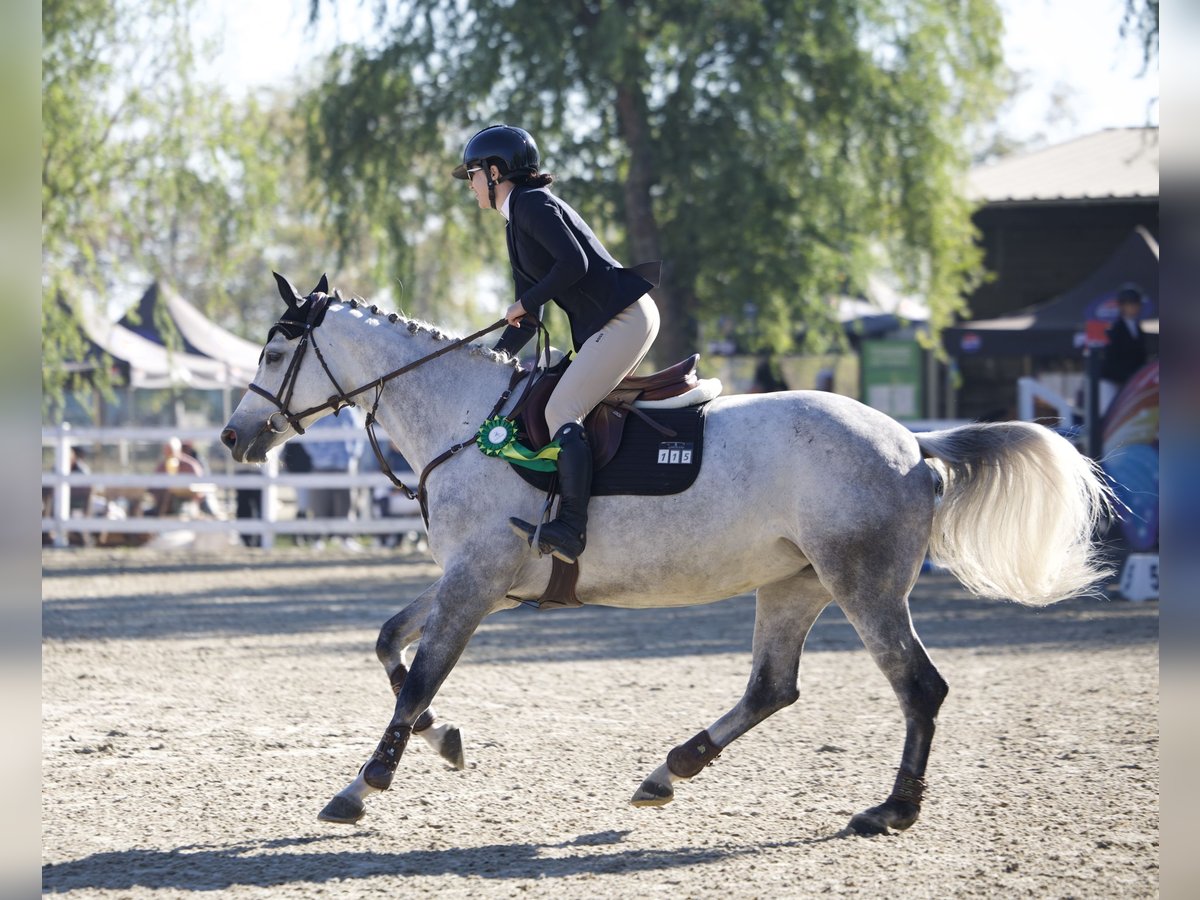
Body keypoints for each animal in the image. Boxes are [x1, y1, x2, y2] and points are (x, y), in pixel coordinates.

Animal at [220, 277, 1108, 840]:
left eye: (272, 355)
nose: (234, 437)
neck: (465, 421)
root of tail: (914, 444)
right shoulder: (480, 582)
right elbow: (390, 649)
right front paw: (446, 742)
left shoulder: (475, 581)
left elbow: (419, 678)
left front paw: (360, 788)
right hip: (795, 584)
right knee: (772, 687)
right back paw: (669, 772)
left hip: (865, 586)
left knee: (917, 688)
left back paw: (888, 812)